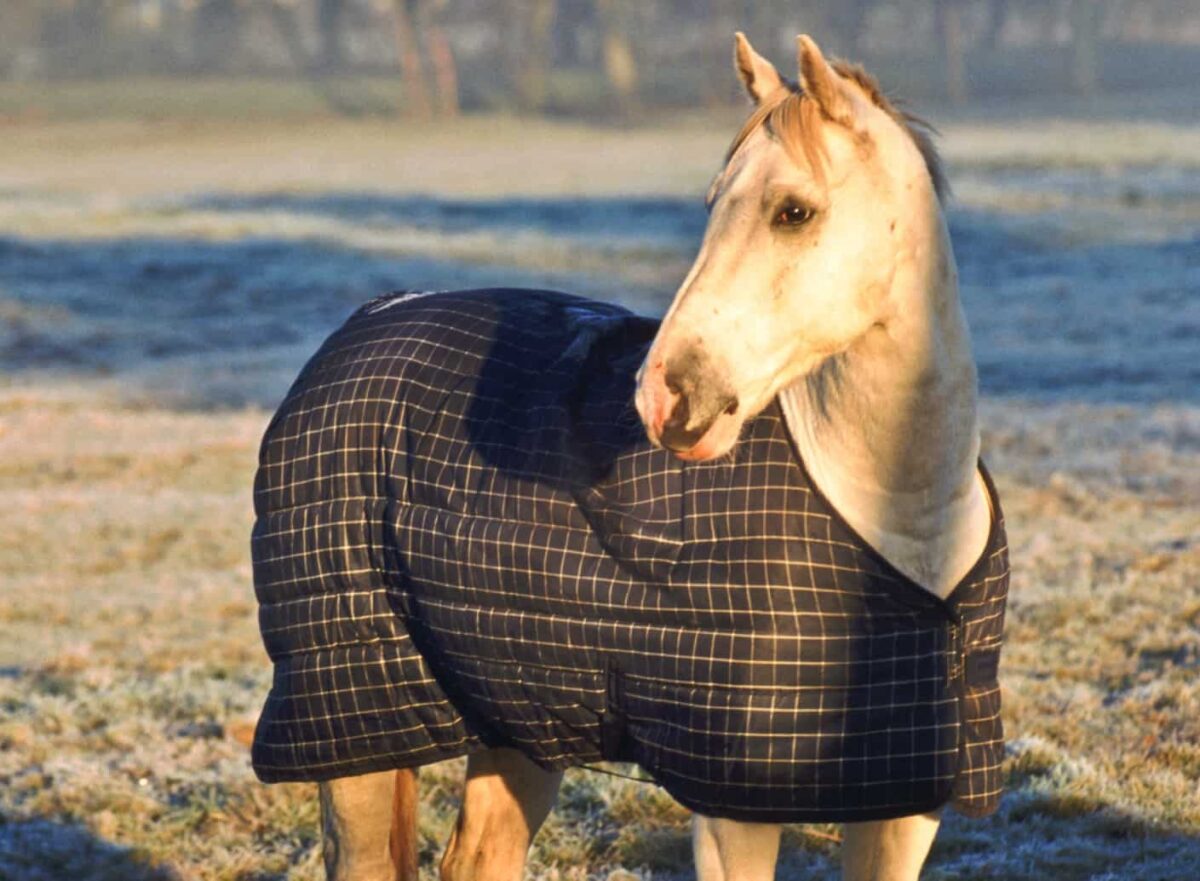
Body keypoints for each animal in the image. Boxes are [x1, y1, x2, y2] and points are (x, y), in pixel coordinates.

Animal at [249, 33, 1006, 881]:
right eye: (714, 204)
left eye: (794, 211)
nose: (664, 396)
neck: (897, 521)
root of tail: (366, 324)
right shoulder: (733, 809)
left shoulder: (905, 797)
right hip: (357, 732)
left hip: (521, 713)